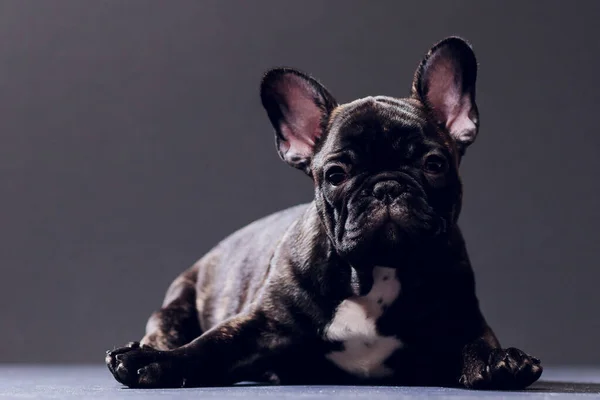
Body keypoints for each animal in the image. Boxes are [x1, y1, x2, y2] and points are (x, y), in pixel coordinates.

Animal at [104, 36, 544, 390]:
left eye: (434, 164)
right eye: (336, 174)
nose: (387, 186)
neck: (378, 271)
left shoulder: (461, 319)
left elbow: (476, 343)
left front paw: (500, 360)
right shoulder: (261, 325)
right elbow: (209, 345)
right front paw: (157, 363)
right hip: (178, 301)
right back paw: (145, 348)